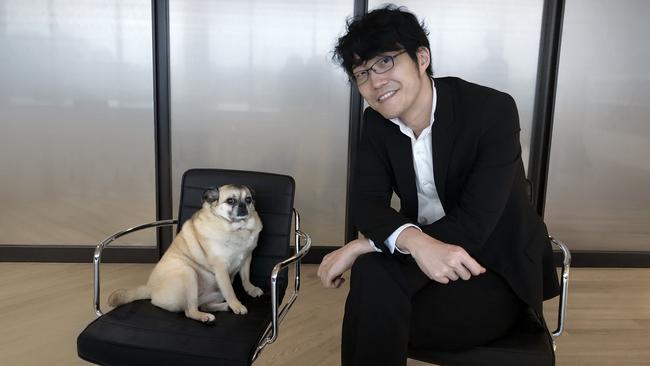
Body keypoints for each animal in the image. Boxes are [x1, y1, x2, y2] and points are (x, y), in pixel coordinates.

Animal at [109, 184, 264, 324]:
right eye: (231, 201)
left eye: (248, 199)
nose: (243, 206)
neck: (238, 229)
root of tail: (149, 289)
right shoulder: (221, 268)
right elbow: (230, 291)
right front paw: (236, 305)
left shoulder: (247, 257)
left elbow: (245, 278)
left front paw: (250, 289)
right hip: (188, 274)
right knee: (190, 311)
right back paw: (205, 316)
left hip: (215, 292)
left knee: (205, 305)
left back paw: (224, 307)